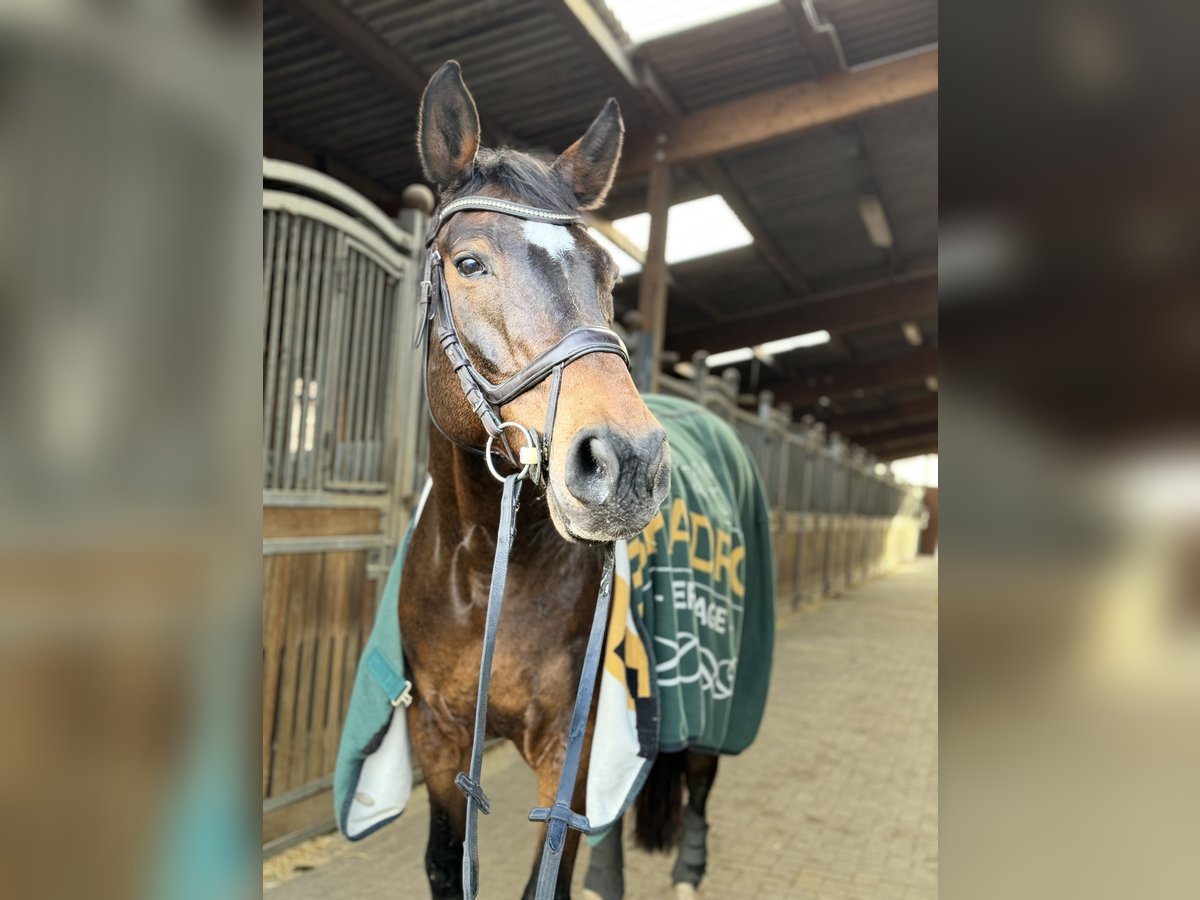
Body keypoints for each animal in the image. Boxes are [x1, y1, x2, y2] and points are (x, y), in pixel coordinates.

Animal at [395, 61, 771, 900]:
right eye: (469, 262)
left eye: (607, 273)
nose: (626, 462)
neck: (484, 570)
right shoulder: (437, 737)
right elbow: (443, 862)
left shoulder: (568, 744)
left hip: (717, 691)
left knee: (700, 776)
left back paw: (689, 868)